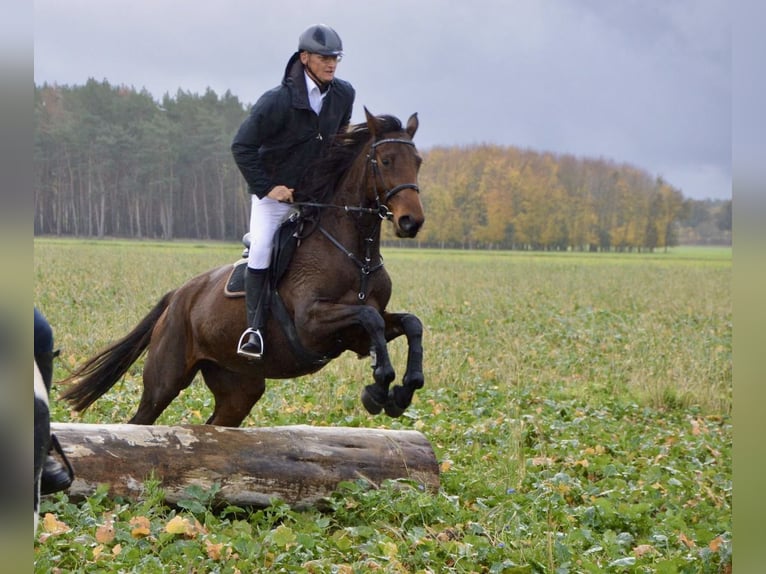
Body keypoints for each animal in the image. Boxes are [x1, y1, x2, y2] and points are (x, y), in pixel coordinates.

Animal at [61, 109, 426, 428]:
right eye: (386, 161)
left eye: (418, 162)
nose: (412, 221)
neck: (357, 255)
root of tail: (178, 296)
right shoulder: (311, 324)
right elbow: (370, 316)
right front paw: (379, 388)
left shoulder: (356, 336)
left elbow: (409, 323)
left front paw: (402, 390)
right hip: (165, 379)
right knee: (141, 420)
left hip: (239, 386)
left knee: (216, 424)